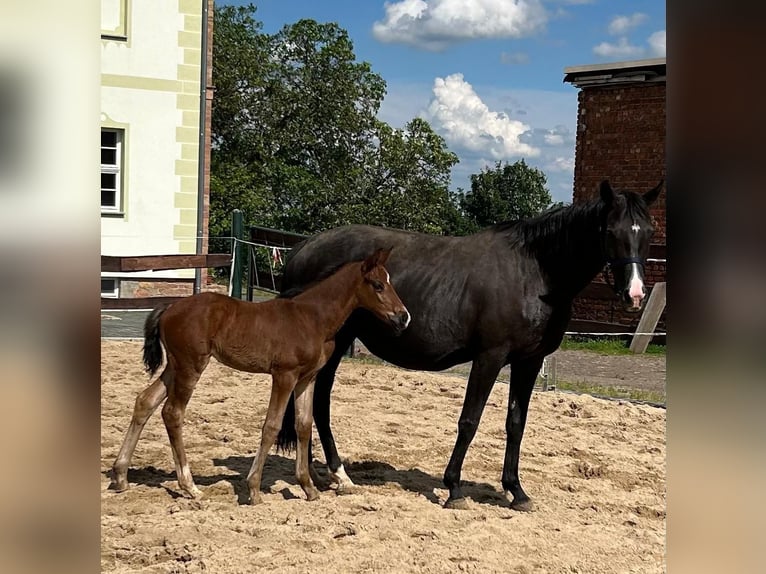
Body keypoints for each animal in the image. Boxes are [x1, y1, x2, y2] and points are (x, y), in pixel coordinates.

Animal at [111, 248, 412, 504]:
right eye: (378, 285)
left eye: (390, 282)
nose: (403, 317)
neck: (312, 318)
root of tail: (169, 308)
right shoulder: (284, 375)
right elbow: (272, 425)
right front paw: (254, 488)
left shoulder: (307, 378)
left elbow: (303, 425)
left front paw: (308, 487)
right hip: (190, 365)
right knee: (172, 412)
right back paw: (190, 486)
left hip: (174, 366)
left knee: (145, 401)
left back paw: (120, 475)